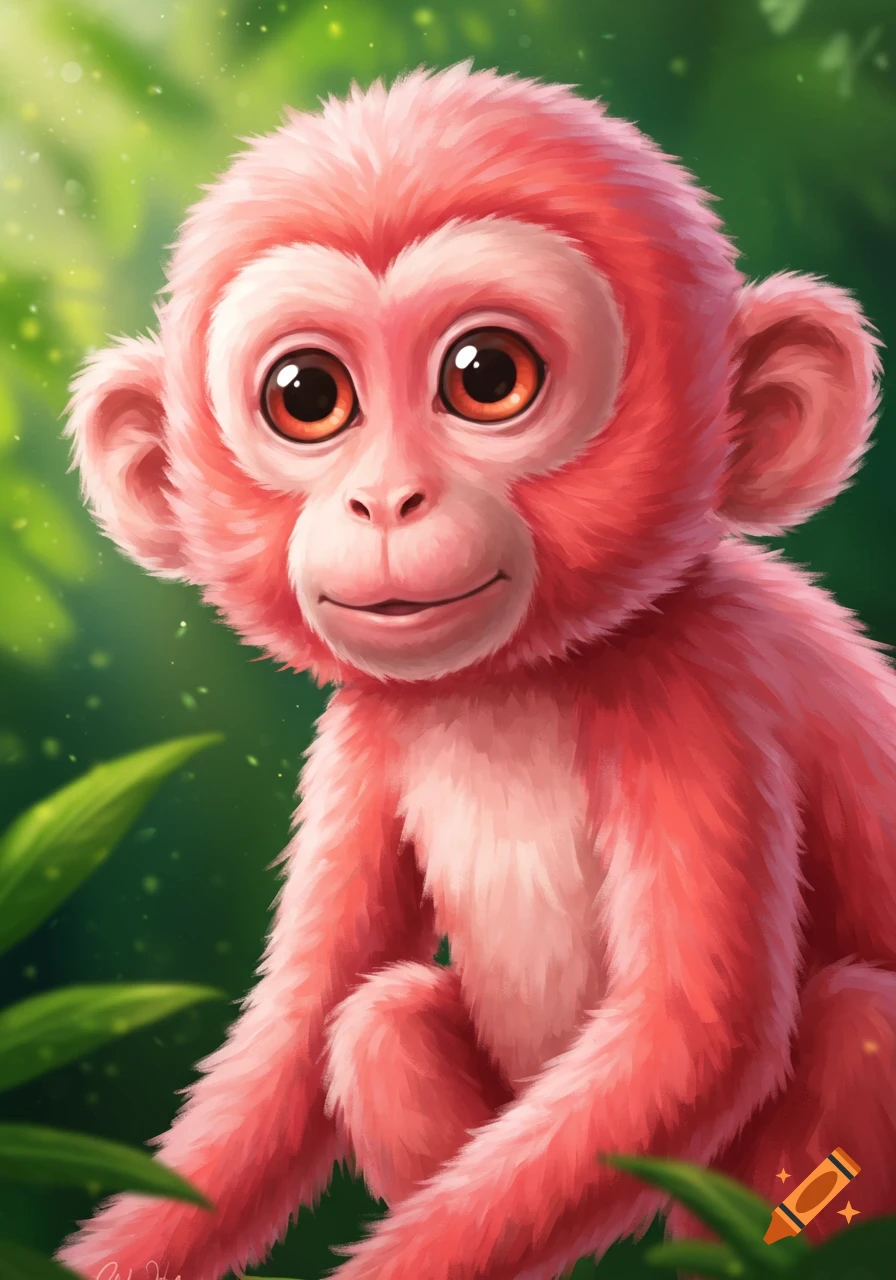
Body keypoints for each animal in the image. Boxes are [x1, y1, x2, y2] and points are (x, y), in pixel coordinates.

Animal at [56, 62, 894, 1280]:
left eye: (485, 375)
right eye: (307, 395)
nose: (385, 500)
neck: (514, 682)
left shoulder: (699, 692)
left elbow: (687, 1041)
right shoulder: (361, 735)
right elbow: (289, 1054)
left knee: (856, 1022)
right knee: (381, 1018)